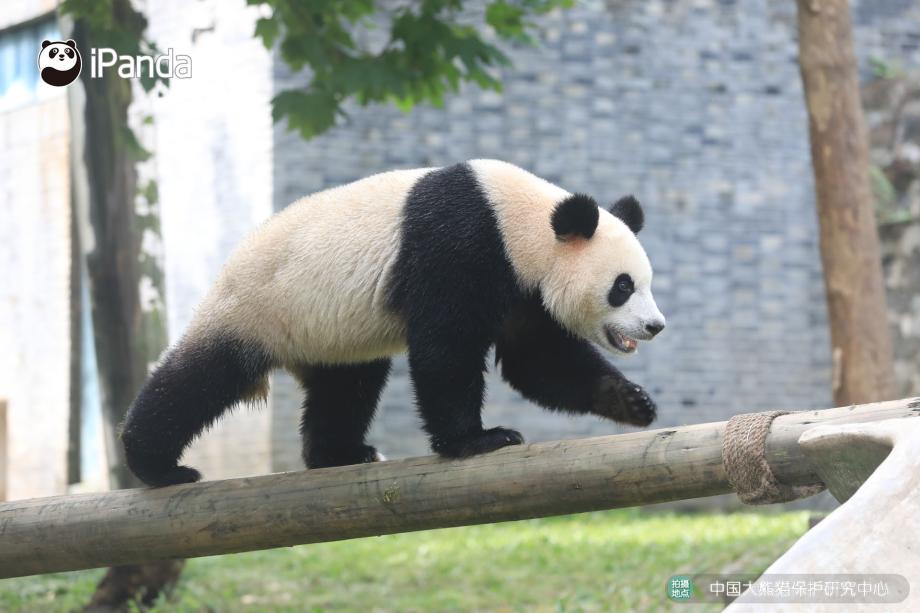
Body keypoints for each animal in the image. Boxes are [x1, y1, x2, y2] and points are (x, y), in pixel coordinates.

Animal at [124, 160, 668, 486]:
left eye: (646, 282)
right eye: (622, 286)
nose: (655, 327)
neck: (519, 220)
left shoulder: (519, 285)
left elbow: (537, 359)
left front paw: (631, 401)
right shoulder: (460, 245)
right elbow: (445, 350)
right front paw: (478, 440)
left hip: (328, 332)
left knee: (347, 386)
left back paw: (339, 453)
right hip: (256, 308)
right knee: (198, 380)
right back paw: (156, 465)